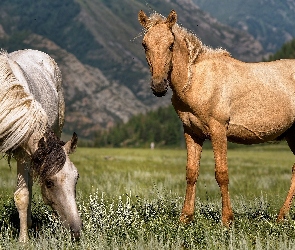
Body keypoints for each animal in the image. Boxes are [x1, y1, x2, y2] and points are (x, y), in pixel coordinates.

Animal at [0, 49, 82, 242]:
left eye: (77, 178)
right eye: (49, 183)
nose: (76, 232)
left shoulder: (23, 154)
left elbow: (22, 195)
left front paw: (23, 240)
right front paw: (24, 241)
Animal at [139, 9, 295, 226]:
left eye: (170, 44)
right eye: (144, 44)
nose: (159, 86)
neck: (196, 81)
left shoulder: (218, 129)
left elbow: (221, 173)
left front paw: (227, 219)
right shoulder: (192, 132)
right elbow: (191, 172)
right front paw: (185, 217)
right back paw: (282, 216)